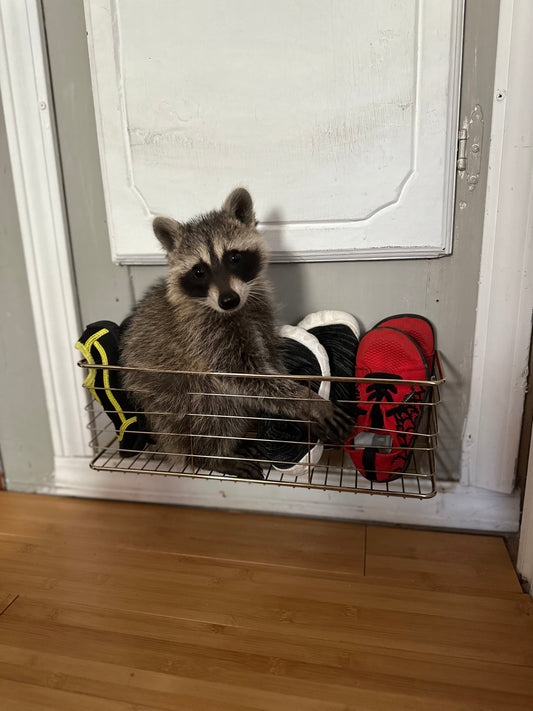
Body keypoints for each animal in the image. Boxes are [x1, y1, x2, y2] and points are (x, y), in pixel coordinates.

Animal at [120, 188, 353, 479]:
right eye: (199, 271)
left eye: (233, 257)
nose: (228, 300)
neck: (236, 309)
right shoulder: (202, 334)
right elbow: (244, 376)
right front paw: (303, 400)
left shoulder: (261, 316)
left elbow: (271, 362)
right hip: (172, 396)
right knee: (214, 405)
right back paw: (211, 456)